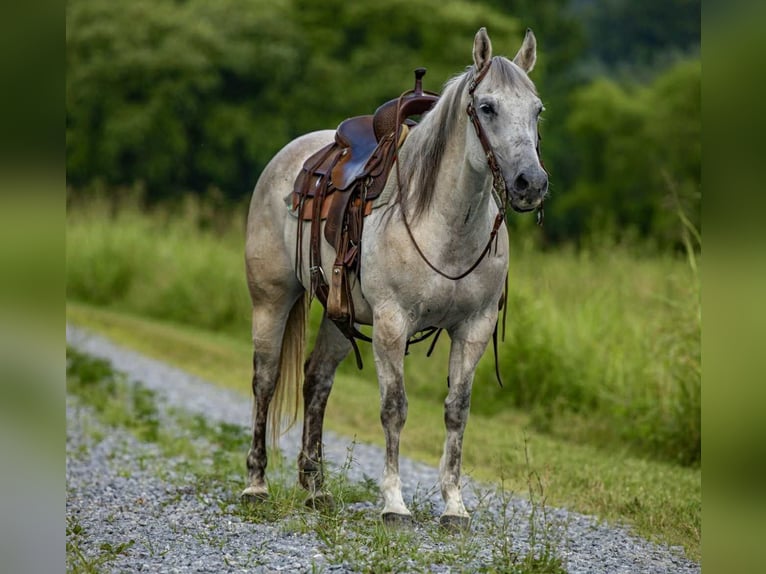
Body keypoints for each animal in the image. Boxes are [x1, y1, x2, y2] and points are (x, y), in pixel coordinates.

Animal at [242, 27, 547, 529]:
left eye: (537, 109)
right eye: (487, 107)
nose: (531, 183)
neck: (445, 223)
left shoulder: (475, 328)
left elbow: (457, 411)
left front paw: (454, 507)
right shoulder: (391, 322)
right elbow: (394, 408)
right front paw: (394, 504)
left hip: (339, 315)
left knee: (316, 382)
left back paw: (316, 489)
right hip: (271, 298)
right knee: (265, 380)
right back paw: (256, 484)